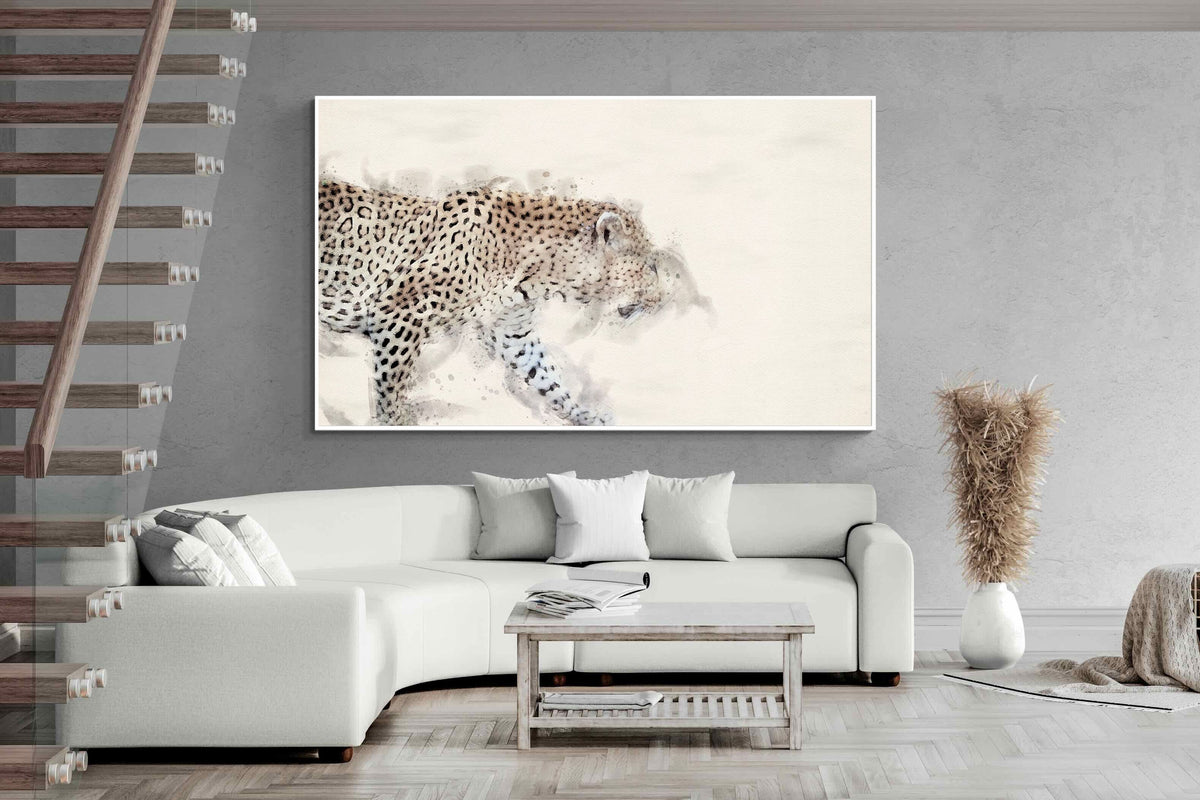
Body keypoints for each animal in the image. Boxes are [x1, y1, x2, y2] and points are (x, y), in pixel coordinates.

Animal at [317, 176, 698, 426]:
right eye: (649, 266)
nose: (662, 299)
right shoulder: (398, 312)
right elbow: (391, 382)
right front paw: (395, 420)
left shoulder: (512, 331)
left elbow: (547, 376)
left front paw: (583, 415)